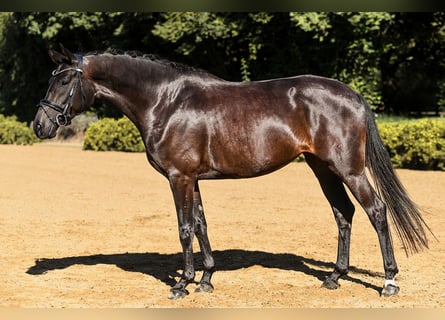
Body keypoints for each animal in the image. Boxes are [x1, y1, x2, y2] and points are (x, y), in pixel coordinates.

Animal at [32, 45, 430, 300]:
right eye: (51, 78)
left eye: (64, 81)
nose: (39, 125)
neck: (165, 101)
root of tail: (352, 94)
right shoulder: (192, 178)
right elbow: (202, 225)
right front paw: (206, 279)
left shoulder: (179, 177)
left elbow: (184, 228)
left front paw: (182, 284)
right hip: (323, 168)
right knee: (343, 213)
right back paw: (334, 277)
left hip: (348, 168)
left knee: (375, 211)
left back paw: (389, 283)